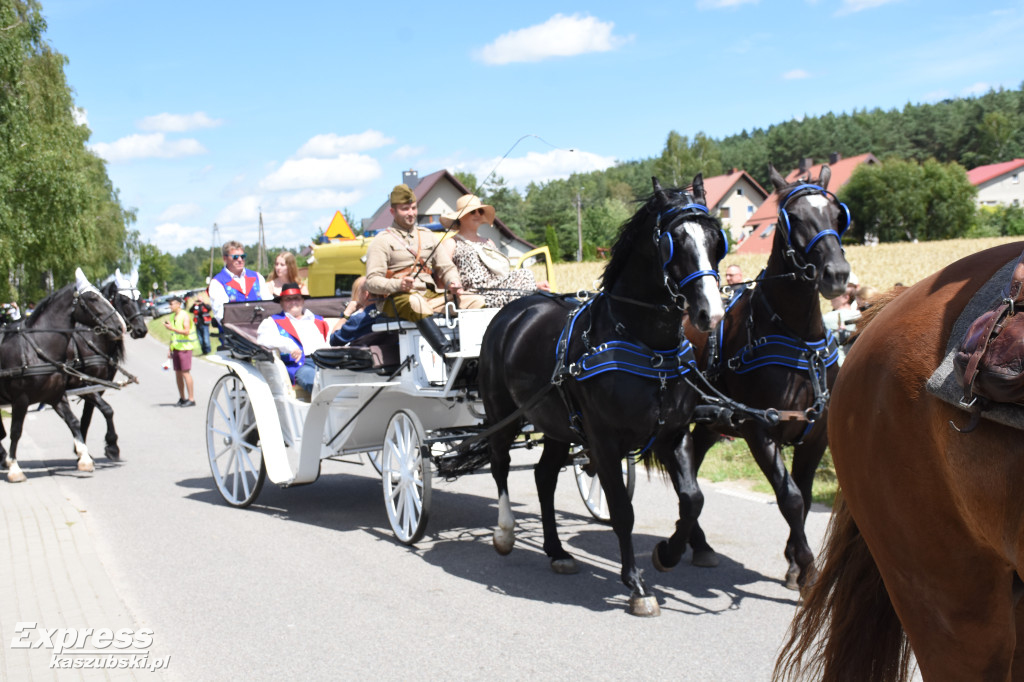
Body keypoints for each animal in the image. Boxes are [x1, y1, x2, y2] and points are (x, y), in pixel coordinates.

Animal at [0, 268, 124, 481]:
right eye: (92, 298)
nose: (120, 326)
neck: (37, 348)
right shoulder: (20, 399)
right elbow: (16, 431)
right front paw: (15, 468)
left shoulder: (57, 395)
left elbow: (75, 421)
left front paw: (84, 457)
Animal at [72, 268, 147, 458]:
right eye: (125, 300)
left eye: (140, 299)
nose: (141, 330)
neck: (91, 339)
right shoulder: (84, 384)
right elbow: (107, 410)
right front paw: (112, 445)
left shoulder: (97, 386)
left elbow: (87, 417)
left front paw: (81, 448)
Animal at [479, 176, 729, 614]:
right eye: (675, 241)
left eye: (717, 240)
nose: (711, 314)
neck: (647, 345)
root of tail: (514, 310)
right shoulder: (604, 441)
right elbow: (621, 511)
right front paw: (637, 585)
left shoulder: (673, 433)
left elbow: (692, 499)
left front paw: (667, 554)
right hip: (501, 414)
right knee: (500, 464)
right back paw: (506, 533)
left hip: (557, 426)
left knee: (544, 477)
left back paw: (557, 551)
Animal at [684, 164, 851, 589]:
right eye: (795, 219)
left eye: (836, 215)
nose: (838, 274)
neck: (799, 340)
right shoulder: (760, 430)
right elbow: (789, 498)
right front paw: (806, 565)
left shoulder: (816, 433)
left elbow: (804, 497)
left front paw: (794, 564)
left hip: (712, 421)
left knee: (691, 459)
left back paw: (699, 543)